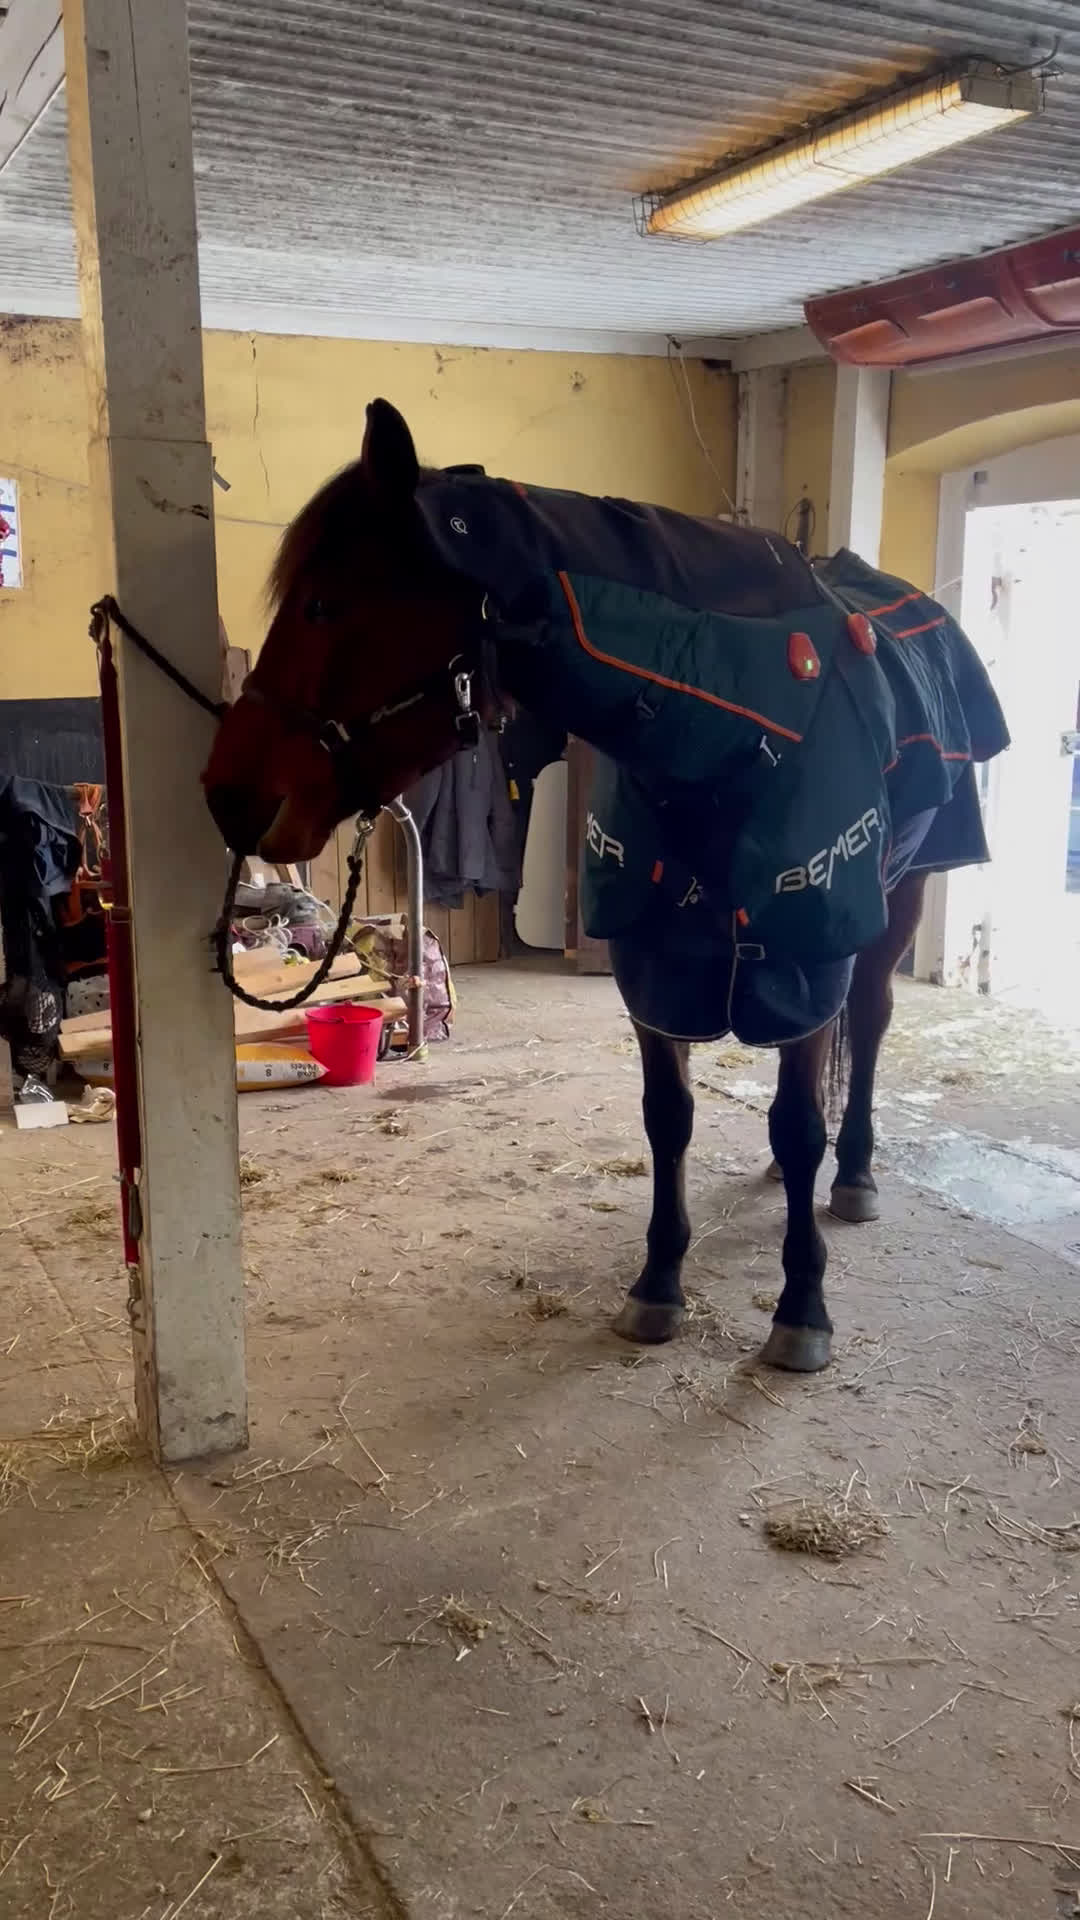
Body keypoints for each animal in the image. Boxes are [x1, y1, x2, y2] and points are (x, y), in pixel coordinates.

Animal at [203, 398, 1009, 1373]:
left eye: (326, 604)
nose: (227, 794)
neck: (731, 735)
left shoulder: (805, 953)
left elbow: (795, 1118)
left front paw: (802, 1305)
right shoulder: (652, 962)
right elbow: (670, 1118)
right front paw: (658, 1283)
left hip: (895, 909)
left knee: (872, 1029)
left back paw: (851, 1173)